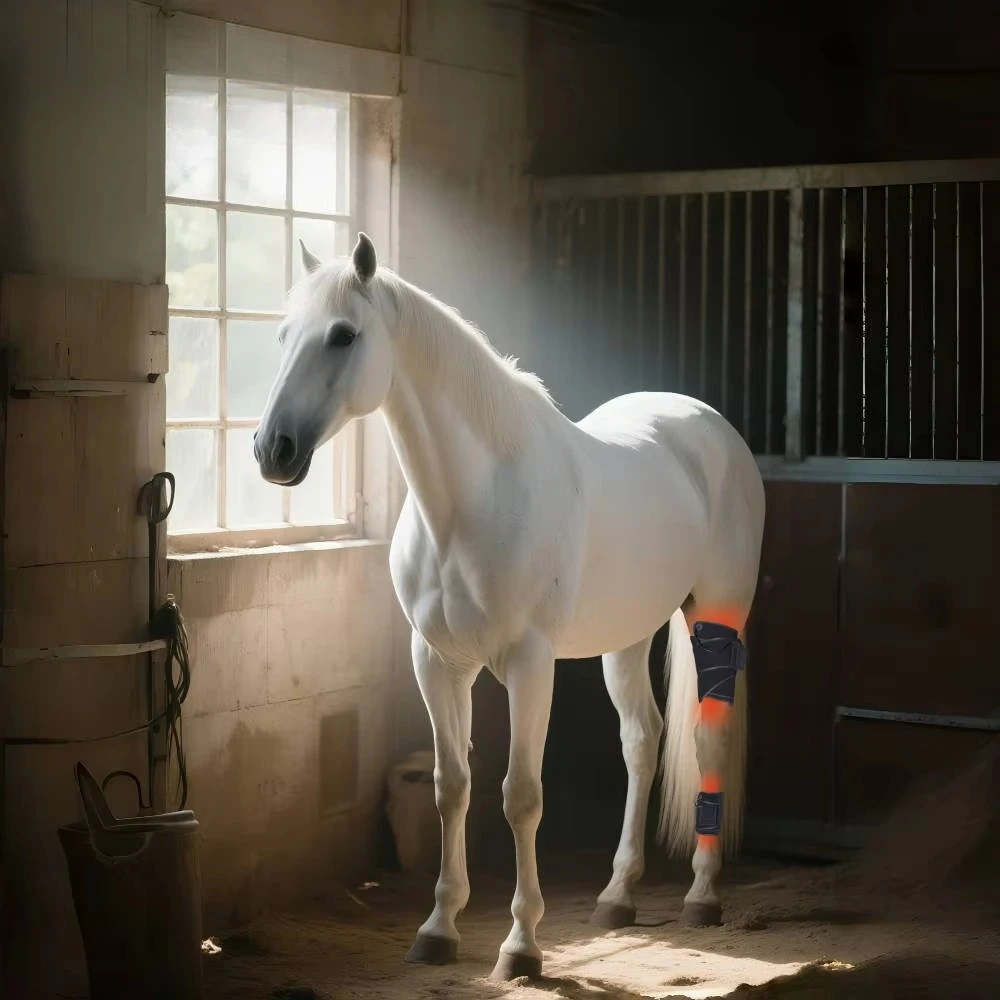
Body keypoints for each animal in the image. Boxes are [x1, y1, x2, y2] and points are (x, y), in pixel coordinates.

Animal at [254, 233, 765, 981]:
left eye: (344, 335)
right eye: (284, 334)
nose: (273, 450)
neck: (470, 502)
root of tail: (709, 426)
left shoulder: (528, 664)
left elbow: (520, 795)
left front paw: (521, 945)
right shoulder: (438, 662)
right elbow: (452, 787)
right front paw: (438, 929)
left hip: (717, 617)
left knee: (708, 740)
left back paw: (702, 894)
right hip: (627, 636)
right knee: (642, 741)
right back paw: (617, 895)